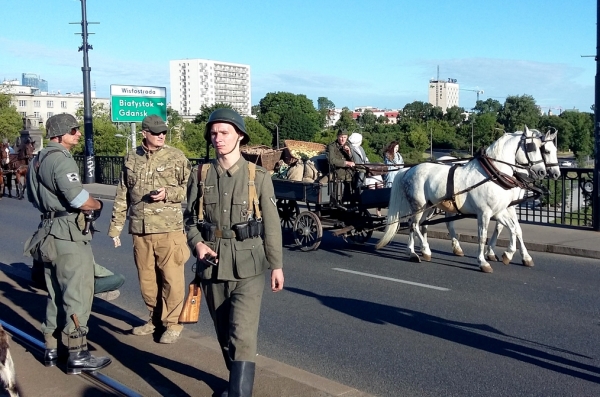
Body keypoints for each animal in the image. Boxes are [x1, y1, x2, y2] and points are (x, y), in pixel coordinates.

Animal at [378, 127, 548, 272]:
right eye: (532, 147)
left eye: (542, 148)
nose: (542, 172)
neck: (492, 175)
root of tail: (409, 169)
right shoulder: (484, 213)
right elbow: (482, 236)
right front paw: (483, 262)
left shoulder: (499, 211)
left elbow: (514, 229)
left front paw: (510, 254)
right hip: (419, 205)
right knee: (413, 224)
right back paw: (421, 251)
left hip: (429, 206)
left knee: (416, 225)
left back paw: (415, 251)